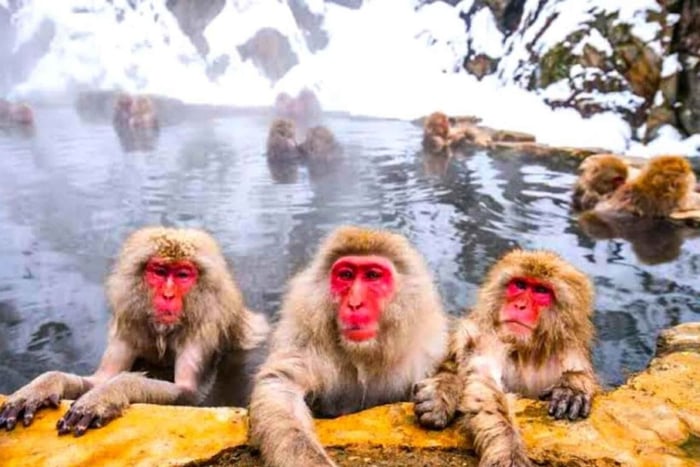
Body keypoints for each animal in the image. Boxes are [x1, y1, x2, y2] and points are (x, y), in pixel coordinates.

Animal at [0, 227, 269, 436]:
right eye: (160, 272)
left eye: (183, 275)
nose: (168, 296)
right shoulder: (129, 324)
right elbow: (99, 378)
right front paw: (42, 386)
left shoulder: (204, 329)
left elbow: (190, 395)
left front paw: (107, 394)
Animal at [249, 226, 449, 467]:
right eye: (346, 275)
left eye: (372, 276)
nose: (354, 304)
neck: (363, 355)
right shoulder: (305, 341)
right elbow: (281, 387)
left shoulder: (429, 349)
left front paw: (442, 394)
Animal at [413, 250, 597, 467]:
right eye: (520, 285)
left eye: (541, 290)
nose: (520, 305)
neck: (527, 352)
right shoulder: (489, 339)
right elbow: (485, 385)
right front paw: (510, 451)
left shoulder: (568, 350)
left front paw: (572, 386)